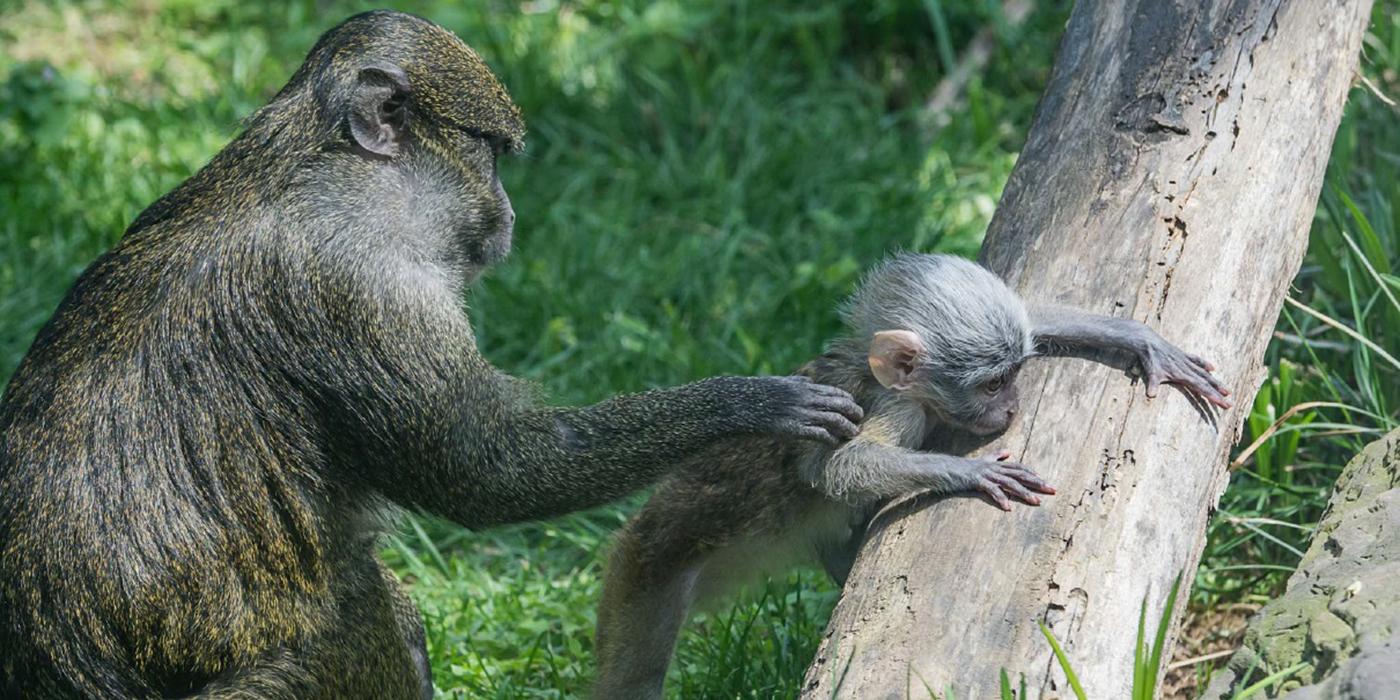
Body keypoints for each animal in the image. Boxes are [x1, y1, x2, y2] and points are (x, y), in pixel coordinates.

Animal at [0, 12, 862, 700]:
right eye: (491, 156)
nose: (509, 212)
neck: (315, 168)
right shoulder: (365, 289)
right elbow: (486, 471)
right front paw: (749, 401)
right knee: (369, 612)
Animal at [596, 253, 1232, 700]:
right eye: (993, 384)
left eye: (1015, 373)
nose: (1012, 409)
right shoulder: (894, 406)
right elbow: (833, 468)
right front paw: (970, 473)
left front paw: (1138, 338)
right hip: (643, 579)